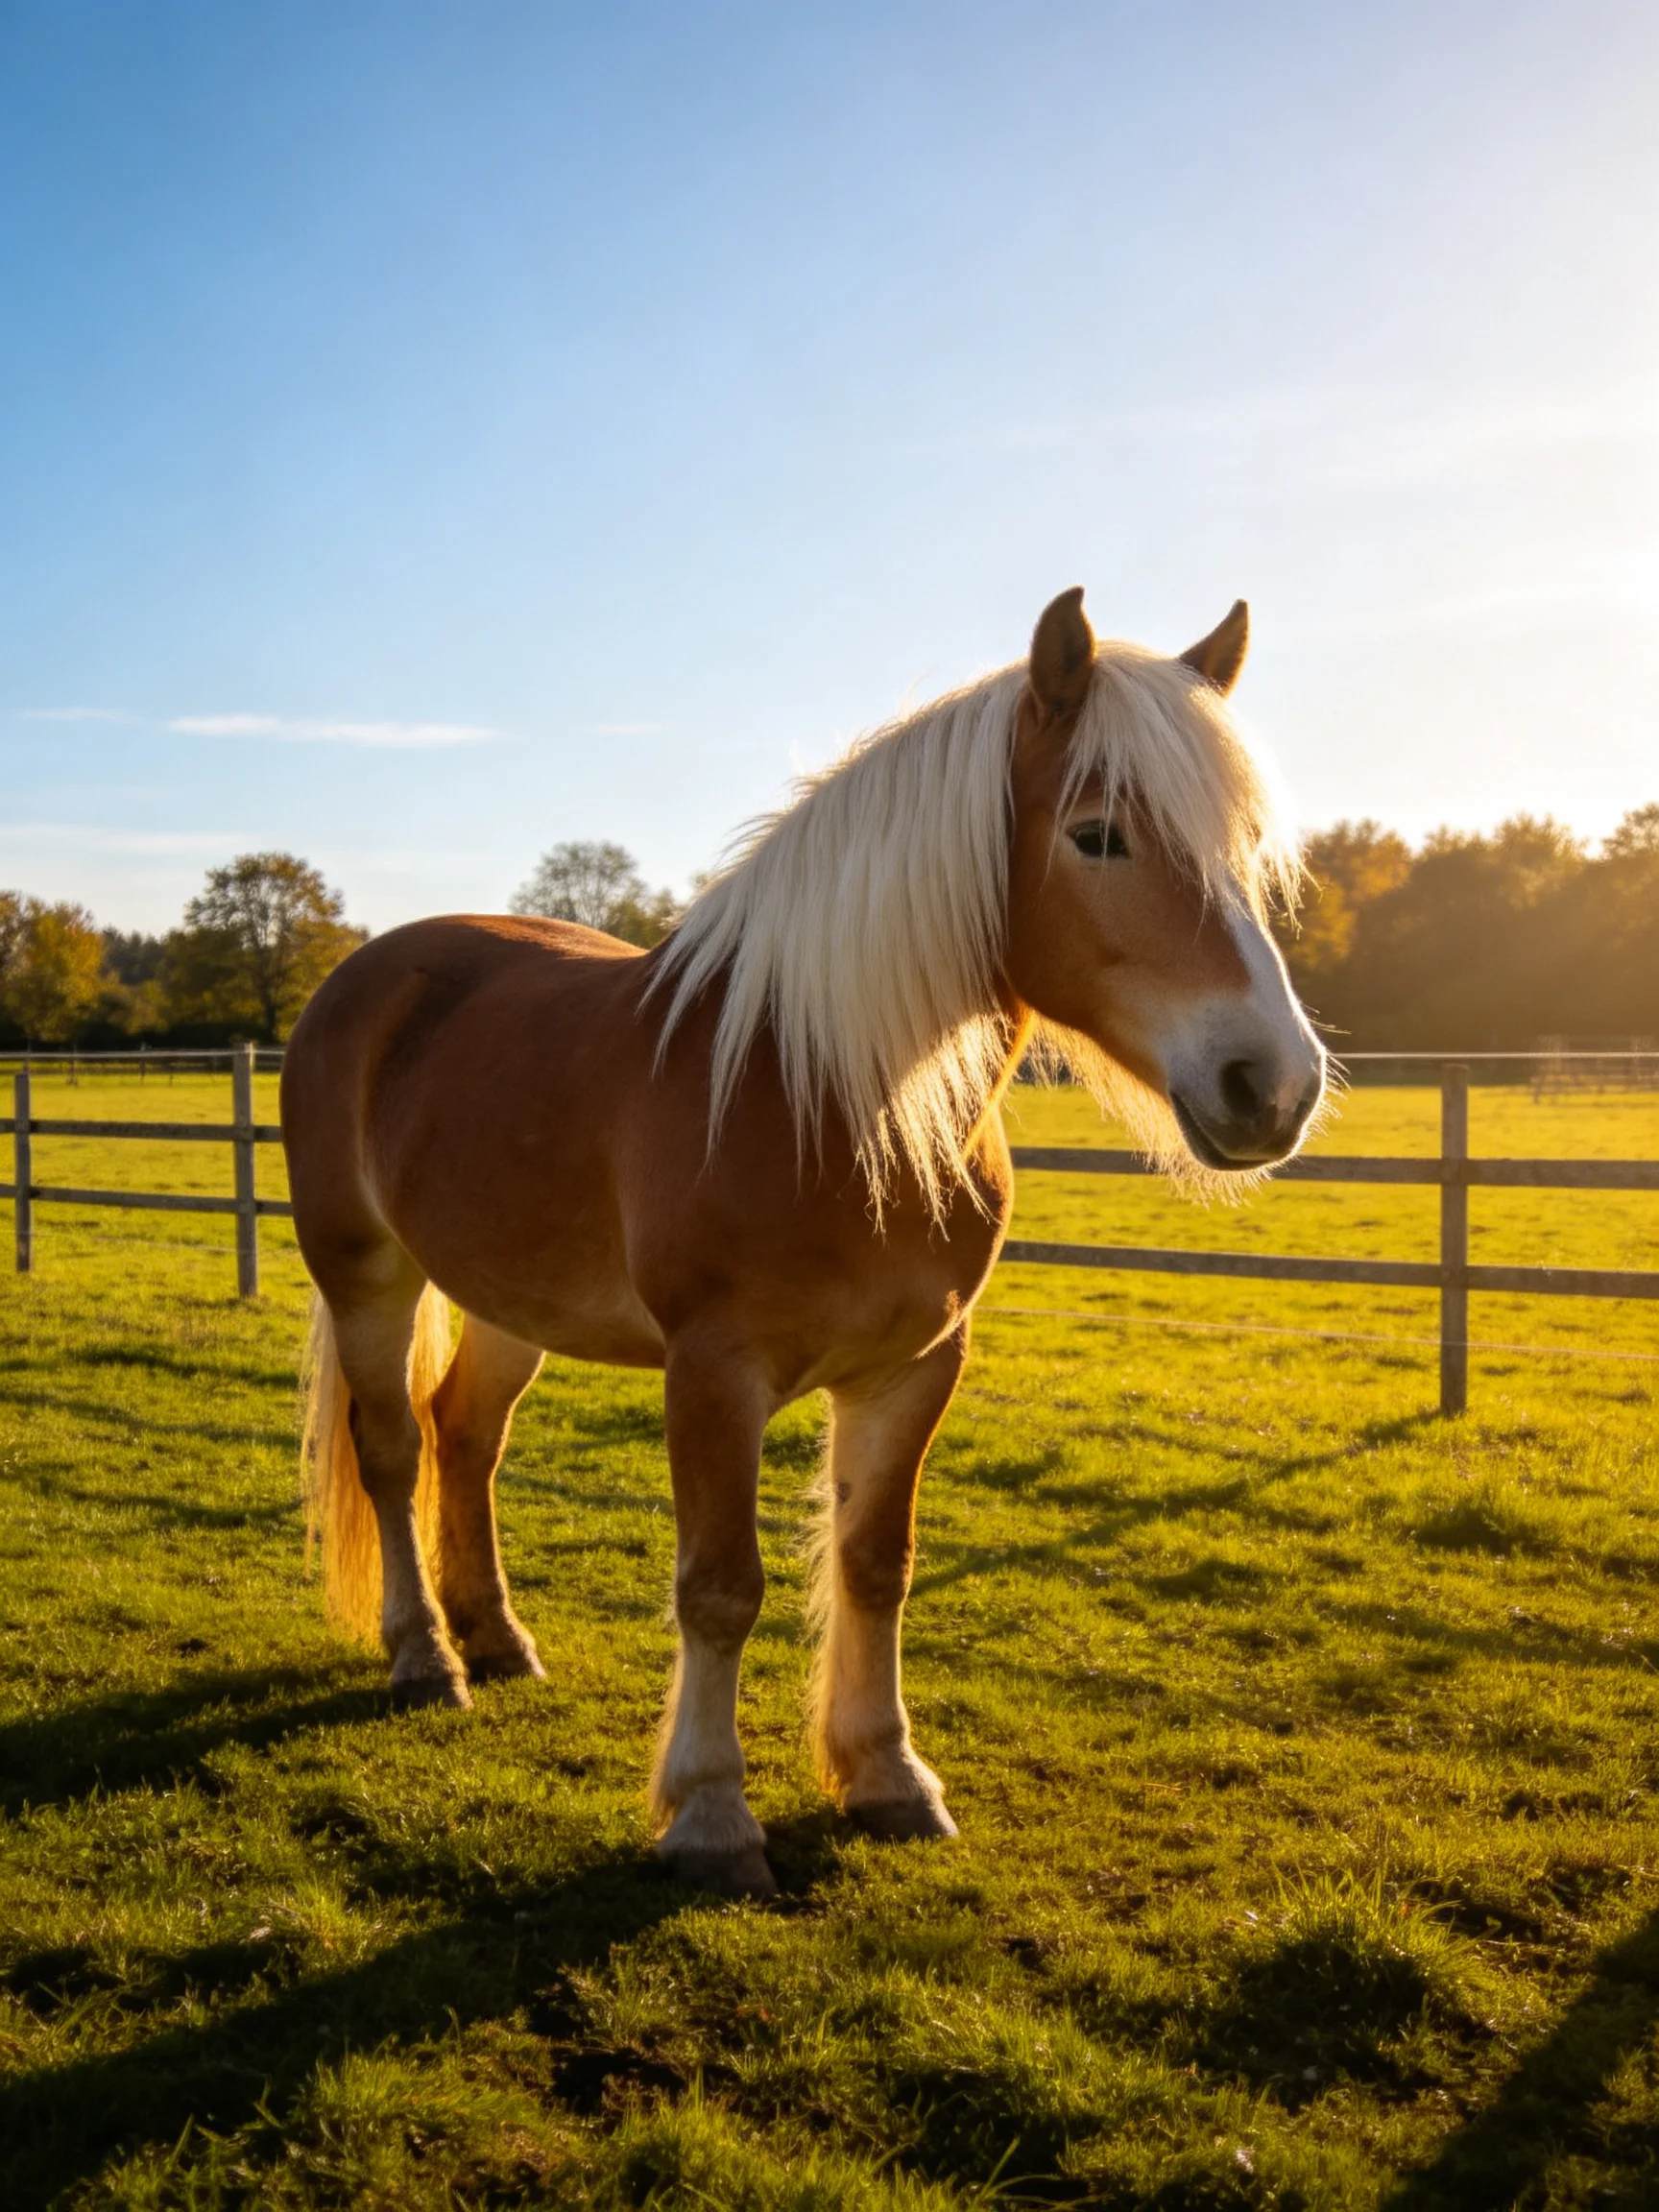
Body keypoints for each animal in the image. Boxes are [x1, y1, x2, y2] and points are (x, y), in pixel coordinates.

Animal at [281, 586, 1325, 1898]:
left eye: (1250, 849)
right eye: (1097, 836)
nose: (1273, 1088)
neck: (825, 1097)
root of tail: (363, 975)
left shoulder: (914, 1368)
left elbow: (877, 1563)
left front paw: (888, 1778)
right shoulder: (712, 1374)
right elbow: (721, 1589)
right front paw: (711, 1817)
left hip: (506, 1298)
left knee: (464, 1436)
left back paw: (499, 1638)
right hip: (366, 1271)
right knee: (390, 1450)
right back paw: (426, 1657)